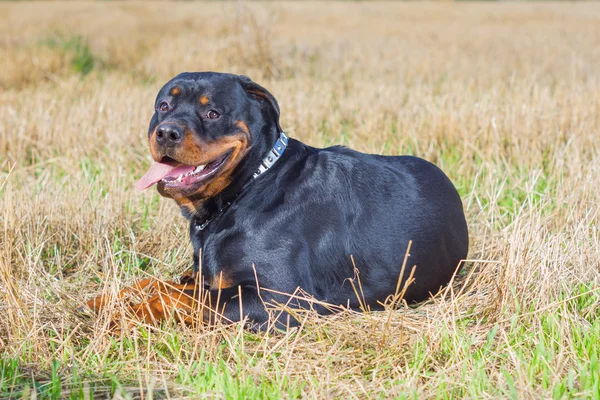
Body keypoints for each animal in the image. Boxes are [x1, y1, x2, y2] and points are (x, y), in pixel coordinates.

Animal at [85, 72, 468, 332]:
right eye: (163, 106)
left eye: (213, 113)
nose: (165, 131)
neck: (249, 188)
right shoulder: (205, 276)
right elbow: (156, 283)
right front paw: (104, 300)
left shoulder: (280, 299)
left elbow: (175, 296)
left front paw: (126, 315)